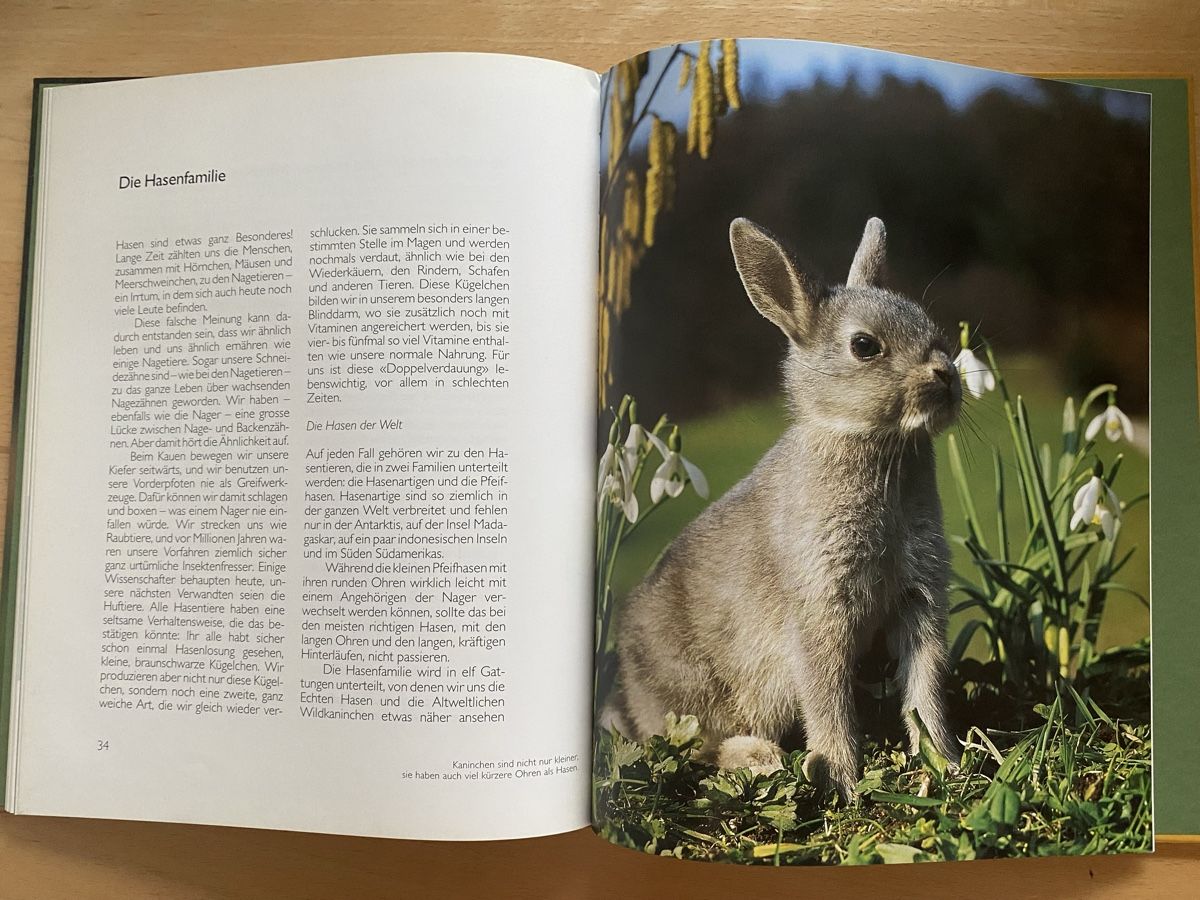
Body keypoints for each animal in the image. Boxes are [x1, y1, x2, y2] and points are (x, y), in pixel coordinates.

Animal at [606, 217, 962, 802]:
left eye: (932, 326)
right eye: (864, 346)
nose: (947, 377)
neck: (871, 442)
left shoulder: (920, 600)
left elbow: (925, 688)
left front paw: (948, 763)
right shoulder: (820, 610)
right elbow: (827, 699)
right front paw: (843, 781)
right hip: (696, 691)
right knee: (692, 747)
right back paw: (760, 758)